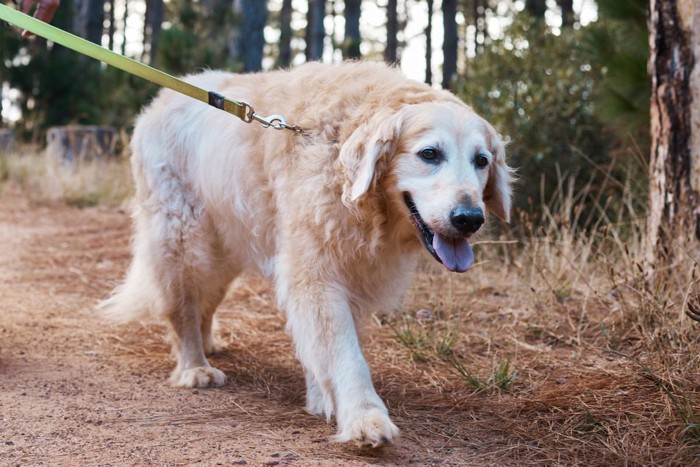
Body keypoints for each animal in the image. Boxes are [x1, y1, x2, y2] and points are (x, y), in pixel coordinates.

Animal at [98, 60, 512, 448]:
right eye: (429, 154)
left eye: (481, 160)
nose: (469, 219)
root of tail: (160, 100)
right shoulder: (316, 273)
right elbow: (346, 355)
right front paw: (364, 417)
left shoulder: (347, 274)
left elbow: (324, 347)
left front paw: (321, 397)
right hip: (185, 241)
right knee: (182, 305)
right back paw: (194, 366)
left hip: (224, 251)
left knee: (205, 303)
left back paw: (208, 345)